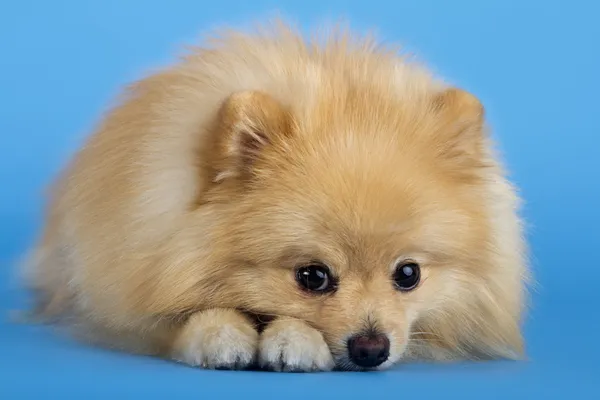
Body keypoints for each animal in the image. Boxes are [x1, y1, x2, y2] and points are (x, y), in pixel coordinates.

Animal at [22, 21, 528, 372]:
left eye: (408, 275)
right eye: (312, 277)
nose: (371, 348)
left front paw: (293, 340)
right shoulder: (128, 285)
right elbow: (176, 317)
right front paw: (220, 334)